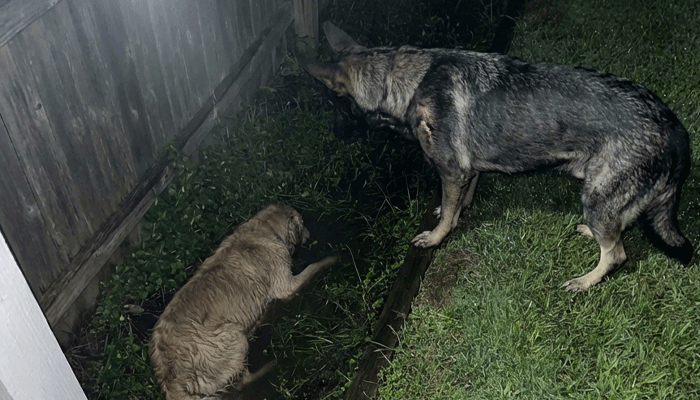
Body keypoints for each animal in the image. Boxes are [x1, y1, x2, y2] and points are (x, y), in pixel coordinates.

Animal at [149, 204, 339, 400]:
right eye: (302, 222)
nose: (308, 233)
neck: (266, 229)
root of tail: (170, 377)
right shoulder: (286, 284)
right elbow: (313, 266)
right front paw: (333, 258)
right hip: (233, 336)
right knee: (244, 380)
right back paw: (271, 363)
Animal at [306, 22, 693, 291]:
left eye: (333, 105)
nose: (334, 136)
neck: (407, 82)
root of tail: (674, 128)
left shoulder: (450, 169)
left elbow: (446, 214)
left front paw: (435, 237)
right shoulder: (467, 170)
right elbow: (458, 201)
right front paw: (455, 210)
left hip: (597, 196)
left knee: (617, 254)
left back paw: (584, 282)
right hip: (604, 199)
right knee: (617, 231)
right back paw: (589, 235)